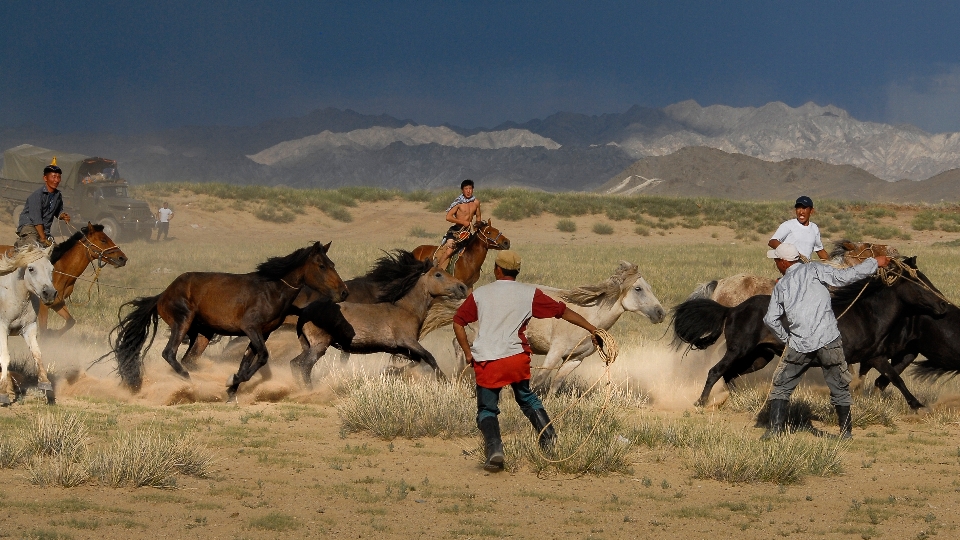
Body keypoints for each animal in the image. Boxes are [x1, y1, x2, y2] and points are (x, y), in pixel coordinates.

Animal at [0, 245, 57, 404]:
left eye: (52, 269)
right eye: (31, 268)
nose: (49, 293)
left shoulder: (29, 328)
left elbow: (37, 353)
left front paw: (45, 383)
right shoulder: (2, 327)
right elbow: (5, 356)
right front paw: (3, 393)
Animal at [105, 242, 348, 400]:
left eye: (333, 263)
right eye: (322, 266)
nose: (343, 292)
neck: (272, 290)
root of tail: (162, 295)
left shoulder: (262, 333)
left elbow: (249, 360)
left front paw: (233, 387)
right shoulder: (251, 328)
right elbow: (262, 356)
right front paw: (231, 381)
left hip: (202, 333)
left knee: (187, 359)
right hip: (182, 321)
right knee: (169, 354)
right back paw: (190, 383)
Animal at [288, 251, 468, 386]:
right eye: (438, 274)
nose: (462, 287)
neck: (406, 309)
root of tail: (304, 311)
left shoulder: (400, 349)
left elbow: (417, 361)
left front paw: (389, 371)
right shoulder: (408, 341)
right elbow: (429, 357)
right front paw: (445, 380)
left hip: (308, 345)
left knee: (295, 363)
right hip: (319, 345)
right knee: (304, 366)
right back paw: (309, 390)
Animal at [524, 260, 668, 394]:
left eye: (649, 287)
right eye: (638, 288)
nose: (661, 313)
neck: (587, 317)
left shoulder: (574, 359)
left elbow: (555, 385)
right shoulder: (555, 352)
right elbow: (538, 381)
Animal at [676, 258, 952, 410]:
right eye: (919, 283)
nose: (944, 305)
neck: (866, 313)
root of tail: (732, 309)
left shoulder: (871, 357)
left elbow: (888, 377)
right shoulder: (860, 358)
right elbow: (892, 378)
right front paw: (918, 406)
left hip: (759, 356)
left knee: (730, 375)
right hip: (738, 350)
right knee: (715, 371)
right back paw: (701, 402)